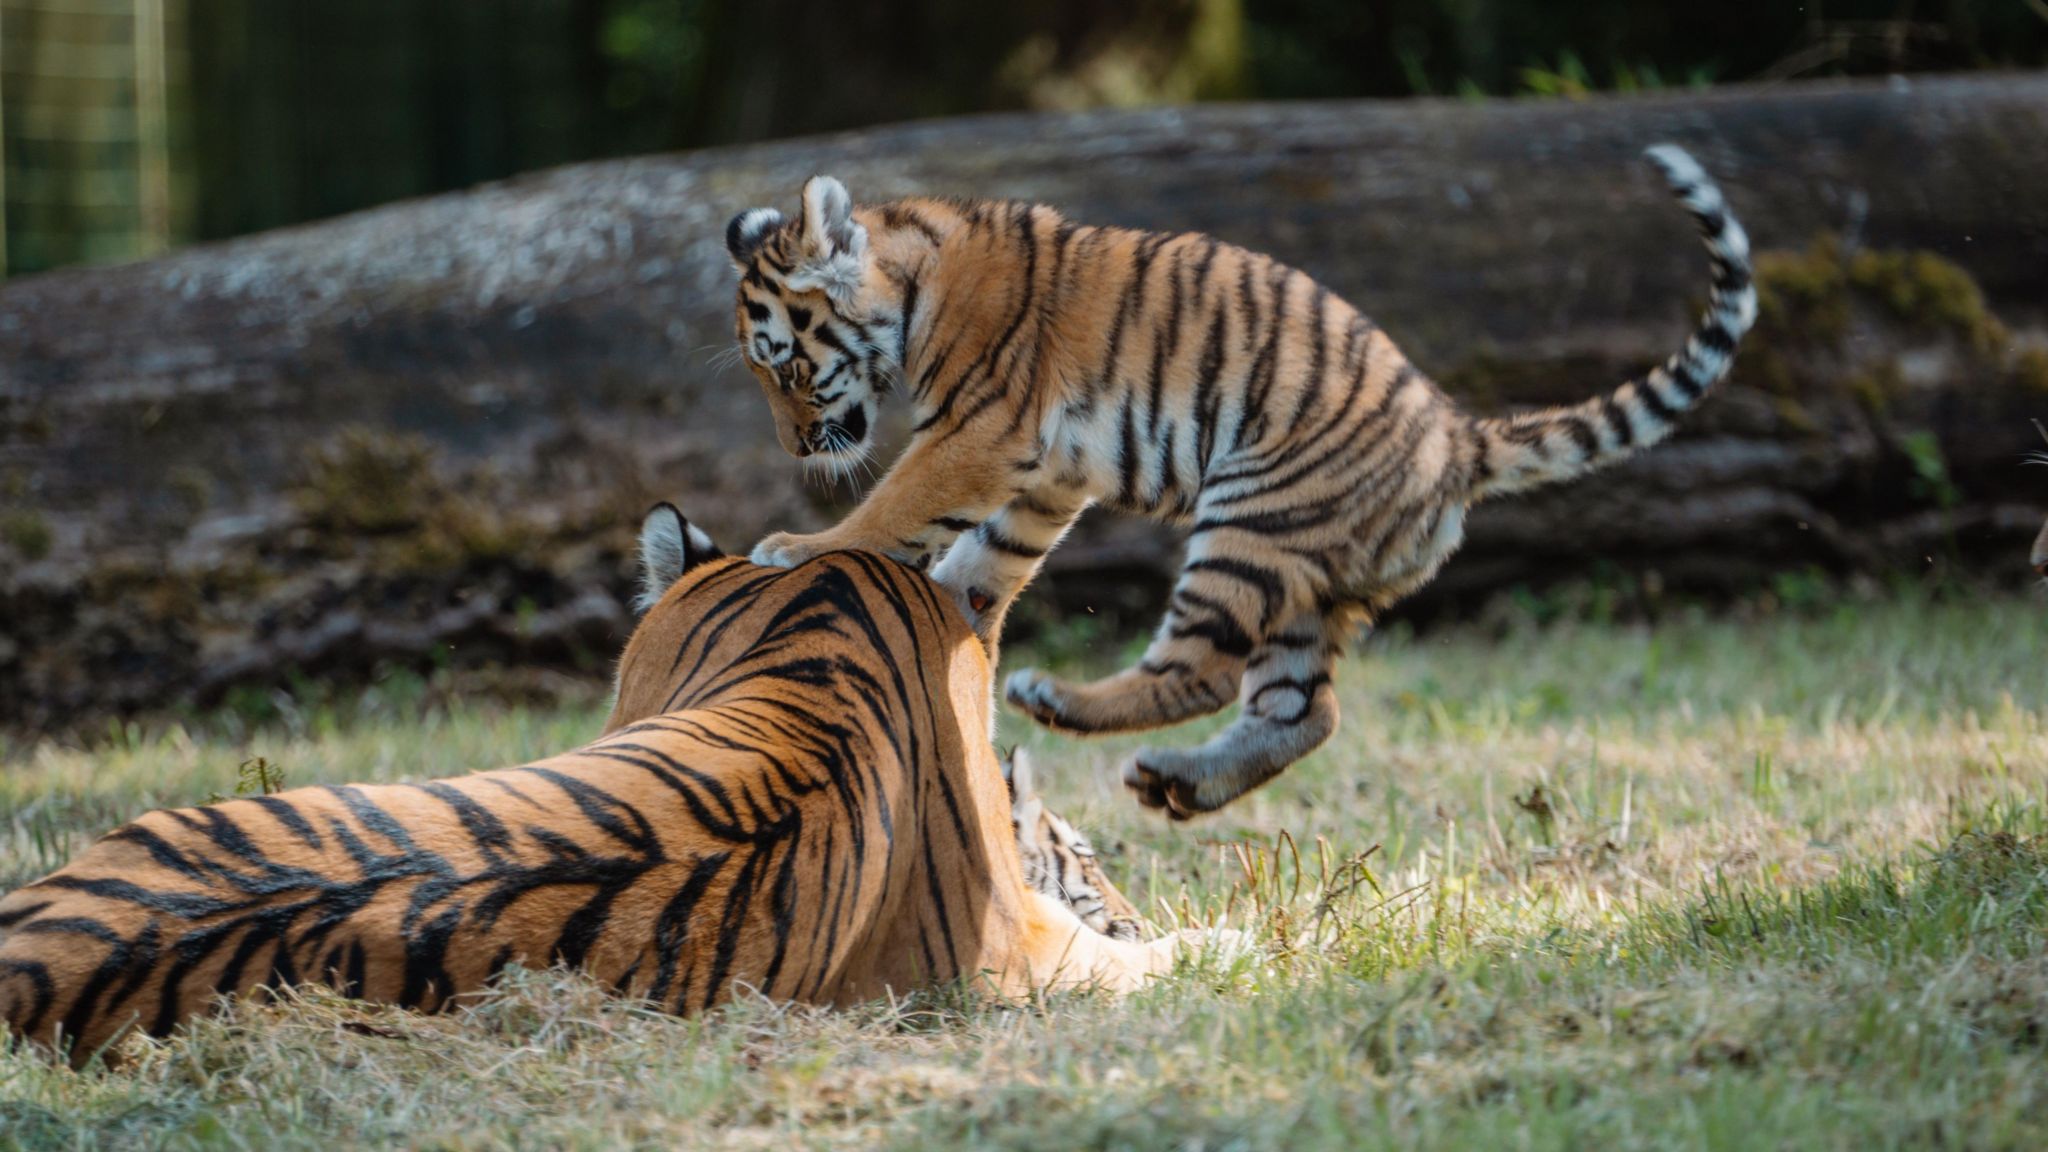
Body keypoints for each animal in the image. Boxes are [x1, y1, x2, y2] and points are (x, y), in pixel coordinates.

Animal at [729, 145, 1753, 815]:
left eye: (784, 365)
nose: (792, 447)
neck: (911, 275)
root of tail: (1457, 438)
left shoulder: (981, 432)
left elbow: (895, 504)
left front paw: (797, 548)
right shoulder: (1046, 473)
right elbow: (985, 554)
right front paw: (956, 612)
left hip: (1250, 521)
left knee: (1202, 672)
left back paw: (1062, 700)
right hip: (1310, 583)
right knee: (1307, 709)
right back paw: (1178, 783)